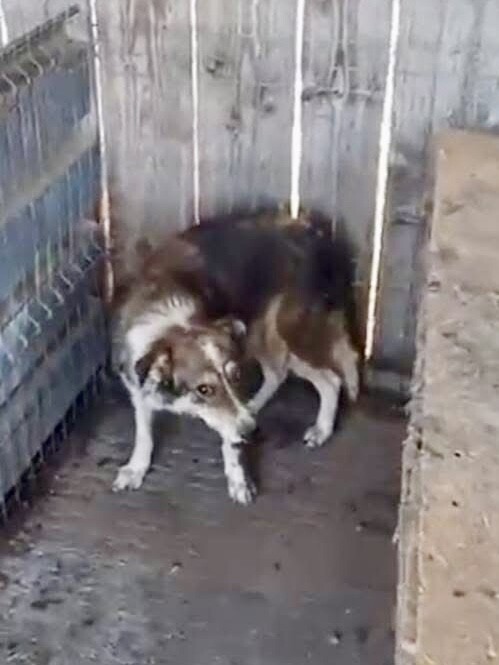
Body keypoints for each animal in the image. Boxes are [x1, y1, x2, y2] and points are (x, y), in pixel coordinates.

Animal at [111, 207, 360, 505]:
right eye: (204, 389)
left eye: (236, 375)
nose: (251, 431)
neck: (171, 325)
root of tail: (313, 230)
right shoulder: (137, 388)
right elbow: (144, 434)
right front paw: (136, 468)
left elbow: (230, 442)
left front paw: (239, 480)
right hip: (258, 334)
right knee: (278, 372)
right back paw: (256, 405)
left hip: (291, 333)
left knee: (331, 379)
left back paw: (321, 429)